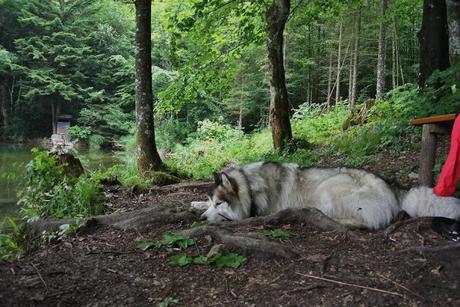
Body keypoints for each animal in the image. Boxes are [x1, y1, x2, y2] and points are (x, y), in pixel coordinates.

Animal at [200, 162, 460, 230]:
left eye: (219, 203)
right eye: (211, 202)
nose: (201, 220)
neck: (252, 188)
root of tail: (394, 187)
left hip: (328, 187)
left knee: (367, 223)